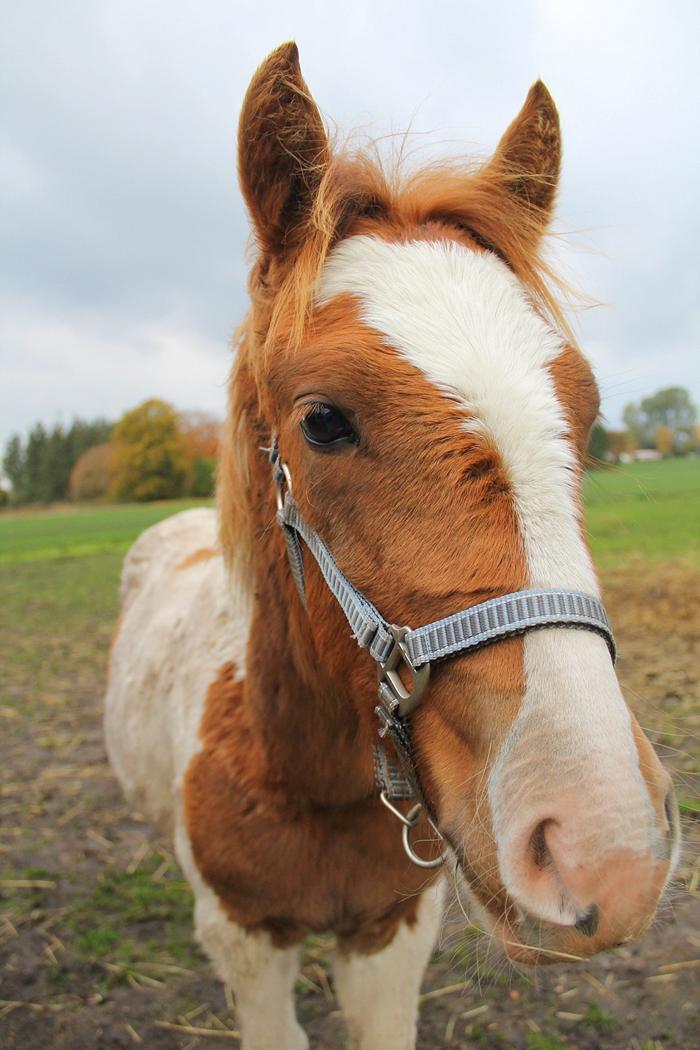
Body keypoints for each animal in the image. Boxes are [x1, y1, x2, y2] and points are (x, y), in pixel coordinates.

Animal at [107, 38, 680, 1050]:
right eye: (322, 420)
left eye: (588, 414)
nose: (606, 850)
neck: (306, 776)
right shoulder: (247, 943)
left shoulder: (391, 936)